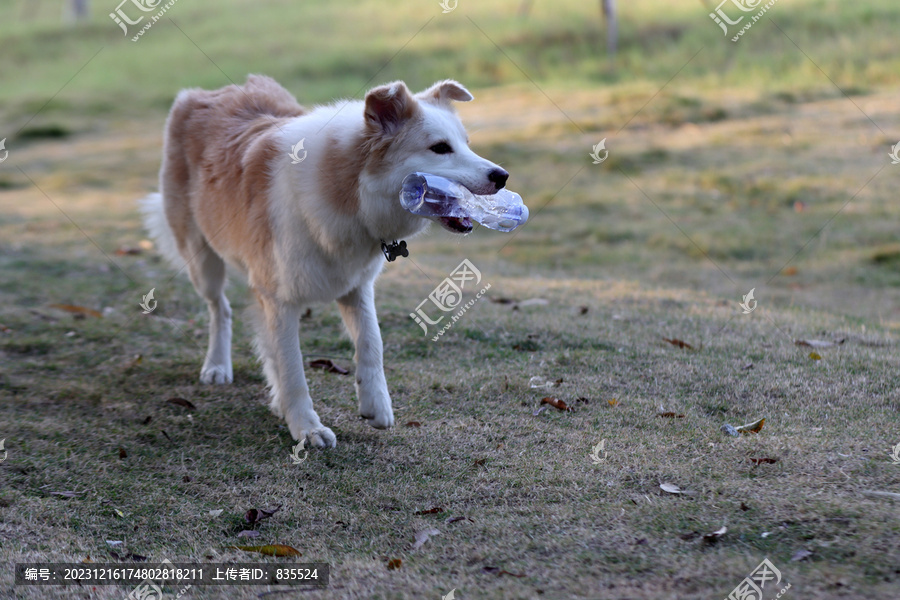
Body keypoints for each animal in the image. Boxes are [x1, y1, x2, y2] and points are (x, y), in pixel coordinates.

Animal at [140, 75, 506, 448]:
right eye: (440, 148)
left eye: (466, 144)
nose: (501, 176)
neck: (349, 185)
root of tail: (204, 93)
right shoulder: (281, 299)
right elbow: (293, 370)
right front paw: (307, 428)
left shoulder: (356, 287)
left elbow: (371, 343)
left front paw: (375, 405)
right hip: (204, 263)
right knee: (221, 309)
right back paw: (217, 366)